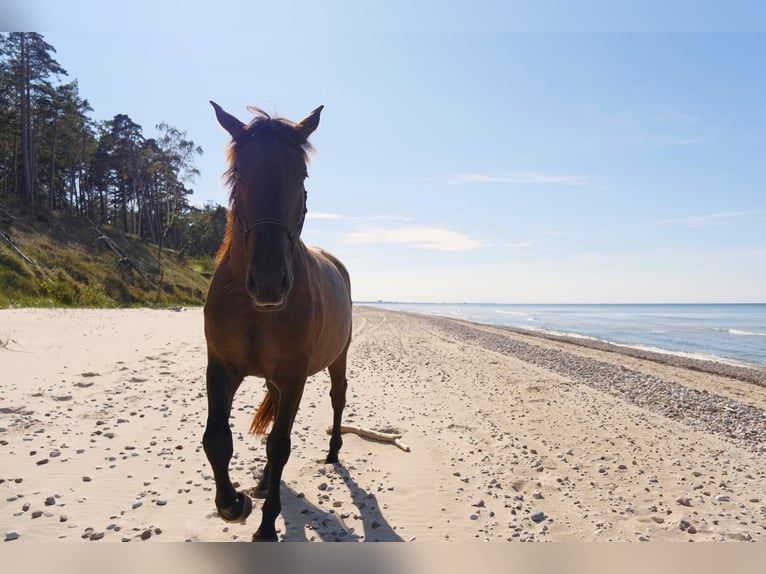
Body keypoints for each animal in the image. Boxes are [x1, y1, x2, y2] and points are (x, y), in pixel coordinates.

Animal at [202, 102, 356, 544]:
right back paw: (263, 483)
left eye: (300, 174)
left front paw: (268, 525)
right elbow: (216, 439)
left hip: (336, 359)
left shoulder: (293, 375)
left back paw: (333, 451)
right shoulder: (221, 368)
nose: (269, 280)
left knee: (337, 399)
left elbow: (281, 445)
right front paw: (233, 503)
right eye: (239, 173)